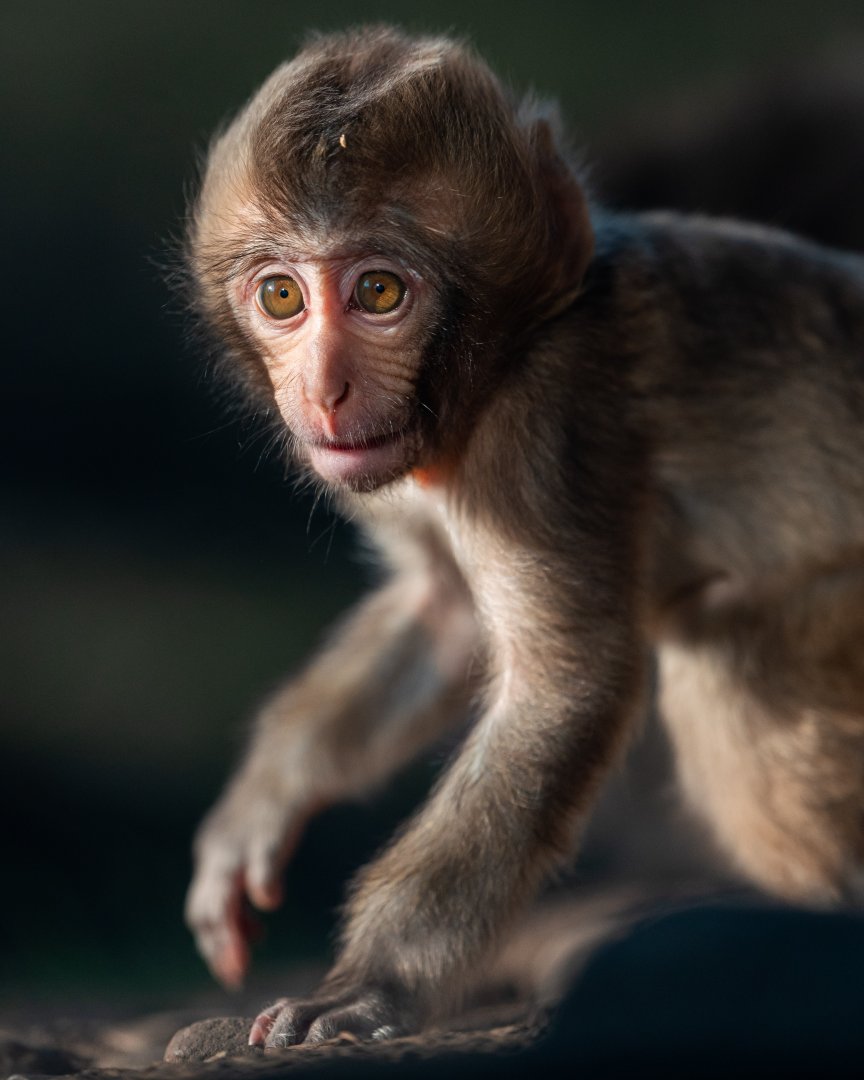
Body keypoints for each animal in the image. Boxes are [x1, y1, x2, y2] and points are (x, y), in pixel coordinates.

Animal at [183, 26, 864, 1048]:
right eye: (281, 299)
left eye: (378, 291)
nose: (325, 391)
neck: (507, 357)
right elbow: (441, 611)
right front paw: (260, 806)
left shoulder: (543, 432)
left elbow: (564, 690)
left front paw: (370, 983)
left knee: (728, 651)